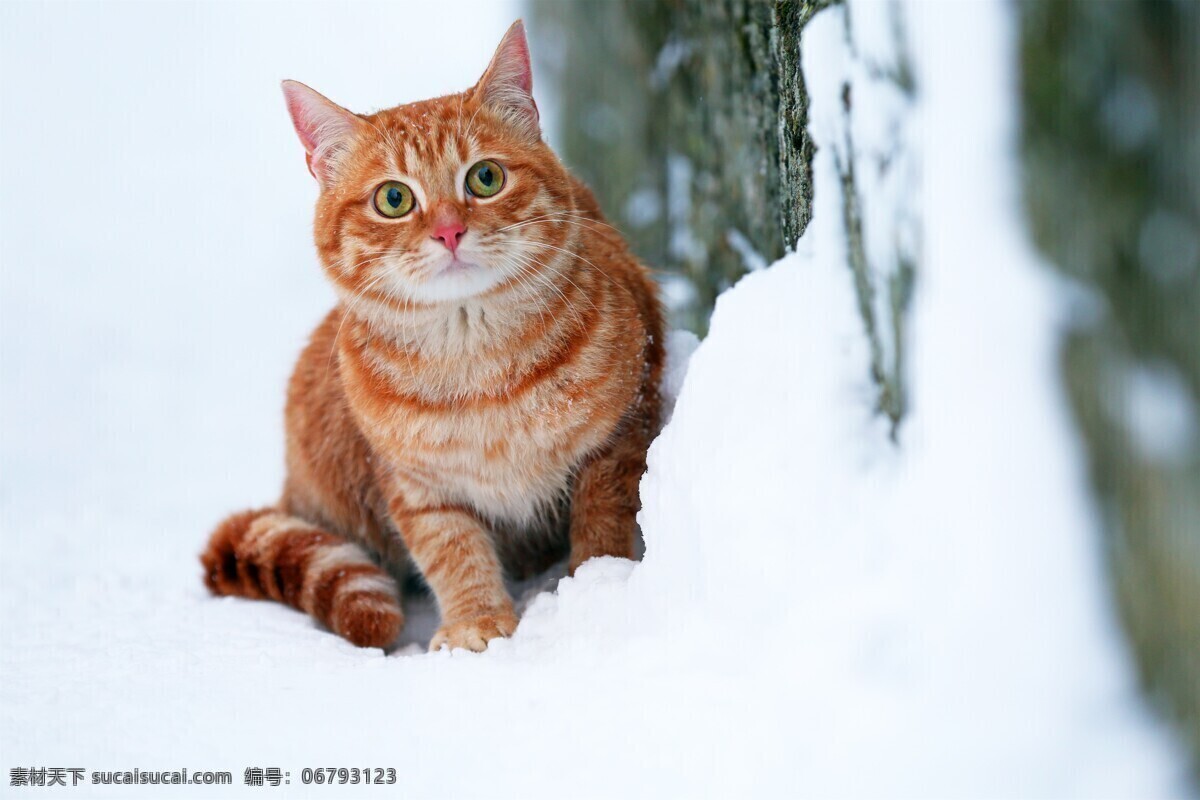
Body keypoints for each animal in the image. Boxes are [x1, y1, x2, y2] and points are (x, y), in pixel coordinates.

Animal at [199, 21, 667, 652]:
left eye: (485, 178)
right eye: (393, 198)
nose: (449, 231)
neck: (478, 363)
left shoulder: (619, 435)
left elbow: (602, 520)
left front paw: (594, 589)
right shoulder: (416, 488)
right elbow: (452, 550)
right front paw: (479, 623)